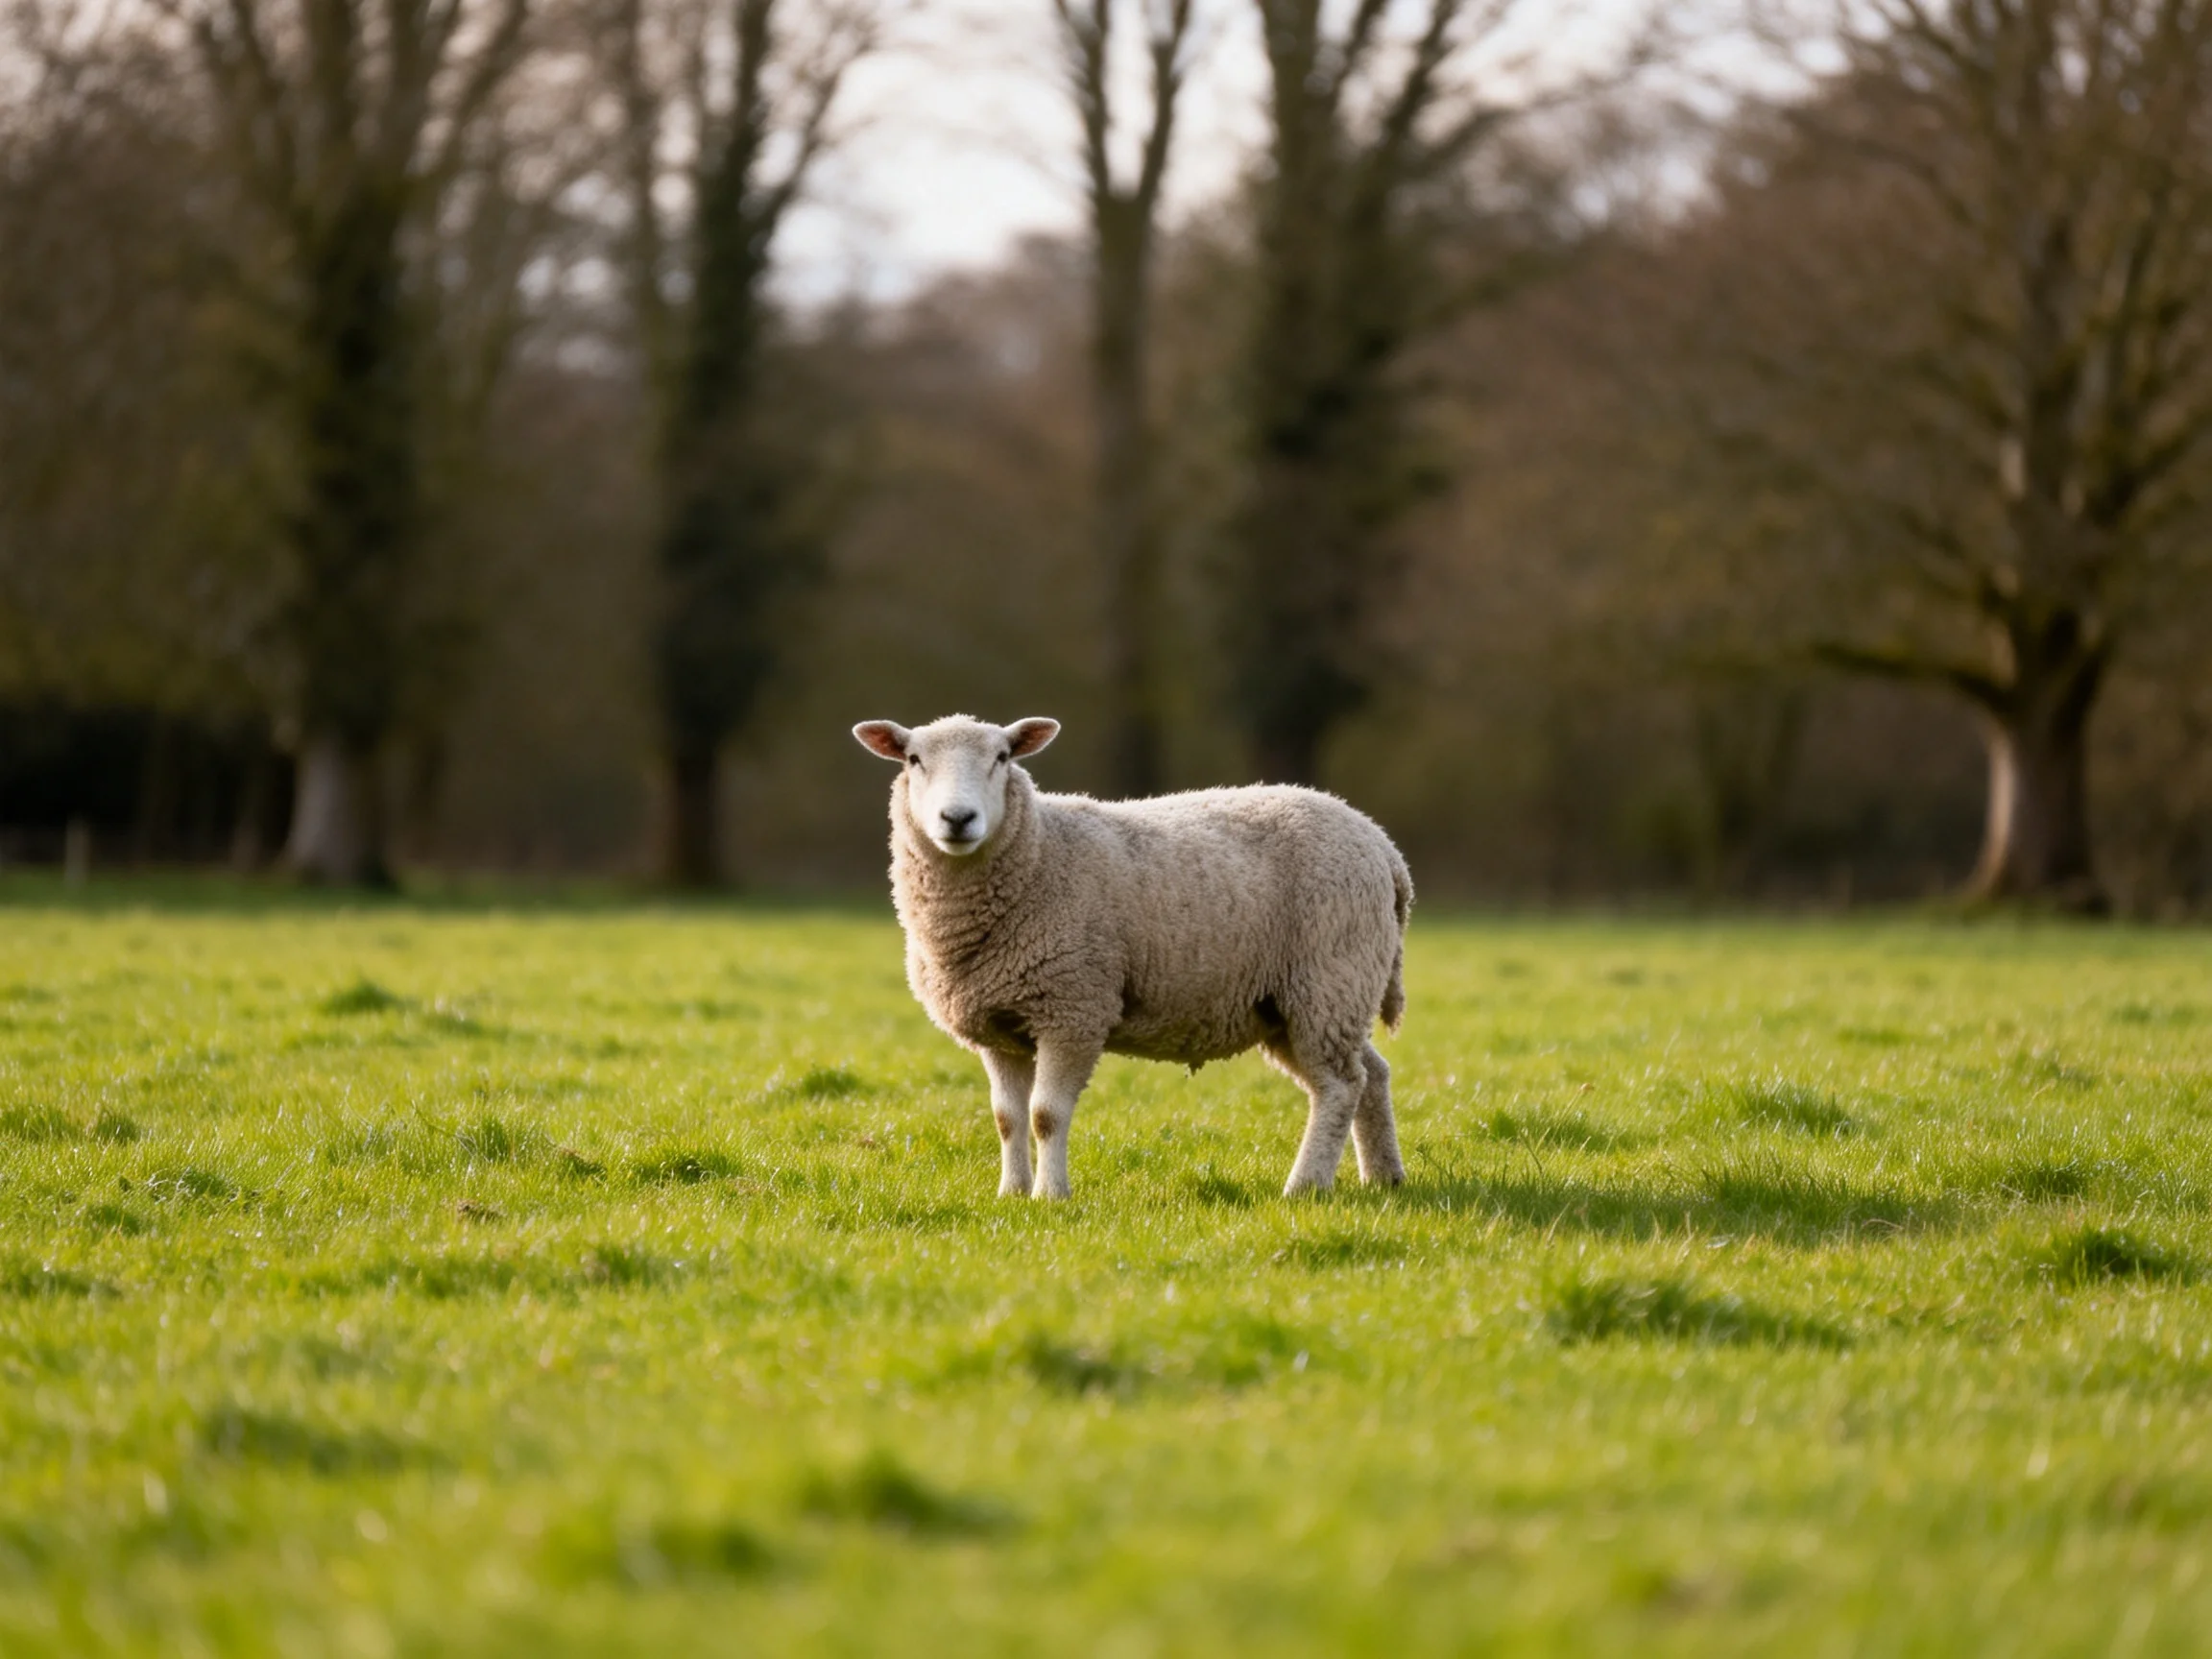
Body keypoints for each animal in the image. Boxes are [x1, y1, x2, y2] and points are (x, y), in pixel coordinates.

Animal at [851, 713, 1413, 1199]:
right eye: (914, 760)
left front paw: (1050, 1196)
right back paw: (1383, 1177)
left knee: (1339, 1085)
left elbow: (1045, 1115)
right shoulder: (1000, 1026)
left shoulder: (1073, 1010)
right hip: (1300, 1000)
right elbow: (1007, 1118)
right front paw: (1011, 1193)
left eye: (1003, 757)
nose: (958, 818)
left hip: (1329, 978)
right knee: (1372, 1074)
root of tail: (1384, 847)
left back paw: (1305, 1185)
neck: (1040, 855)